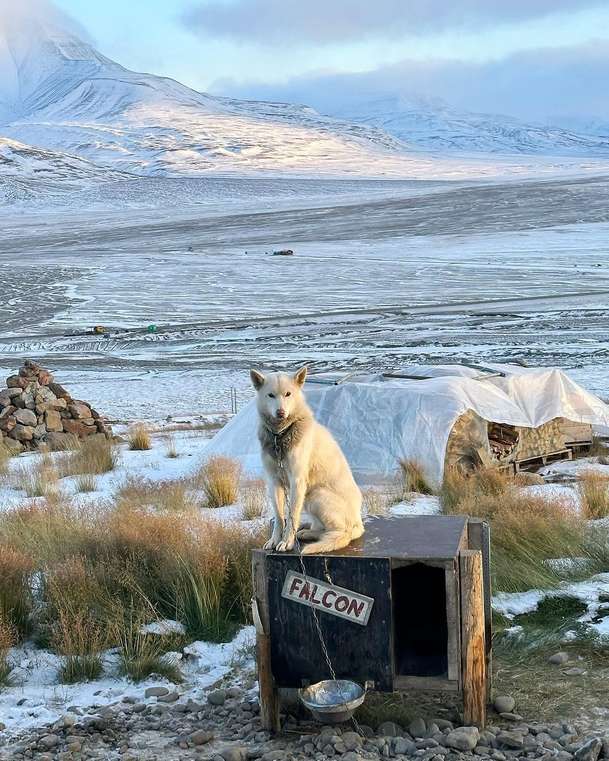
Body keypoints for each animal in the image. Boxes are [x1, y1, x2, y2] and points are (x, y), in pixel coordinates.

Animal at [249, 366, 364, 556]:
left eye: (288, 394)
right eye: (270, 395)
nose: (280, 412)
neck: (280, 436)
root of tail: (358, 524)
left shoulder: (297, 482)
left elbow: (292, 516)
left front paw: (287, 542)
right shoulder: (274, 481)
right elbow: (280, 517)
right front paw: (275, 540)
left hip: (315, 495)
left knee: (339, 532)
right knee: (321, 529)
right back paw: (307, 532)